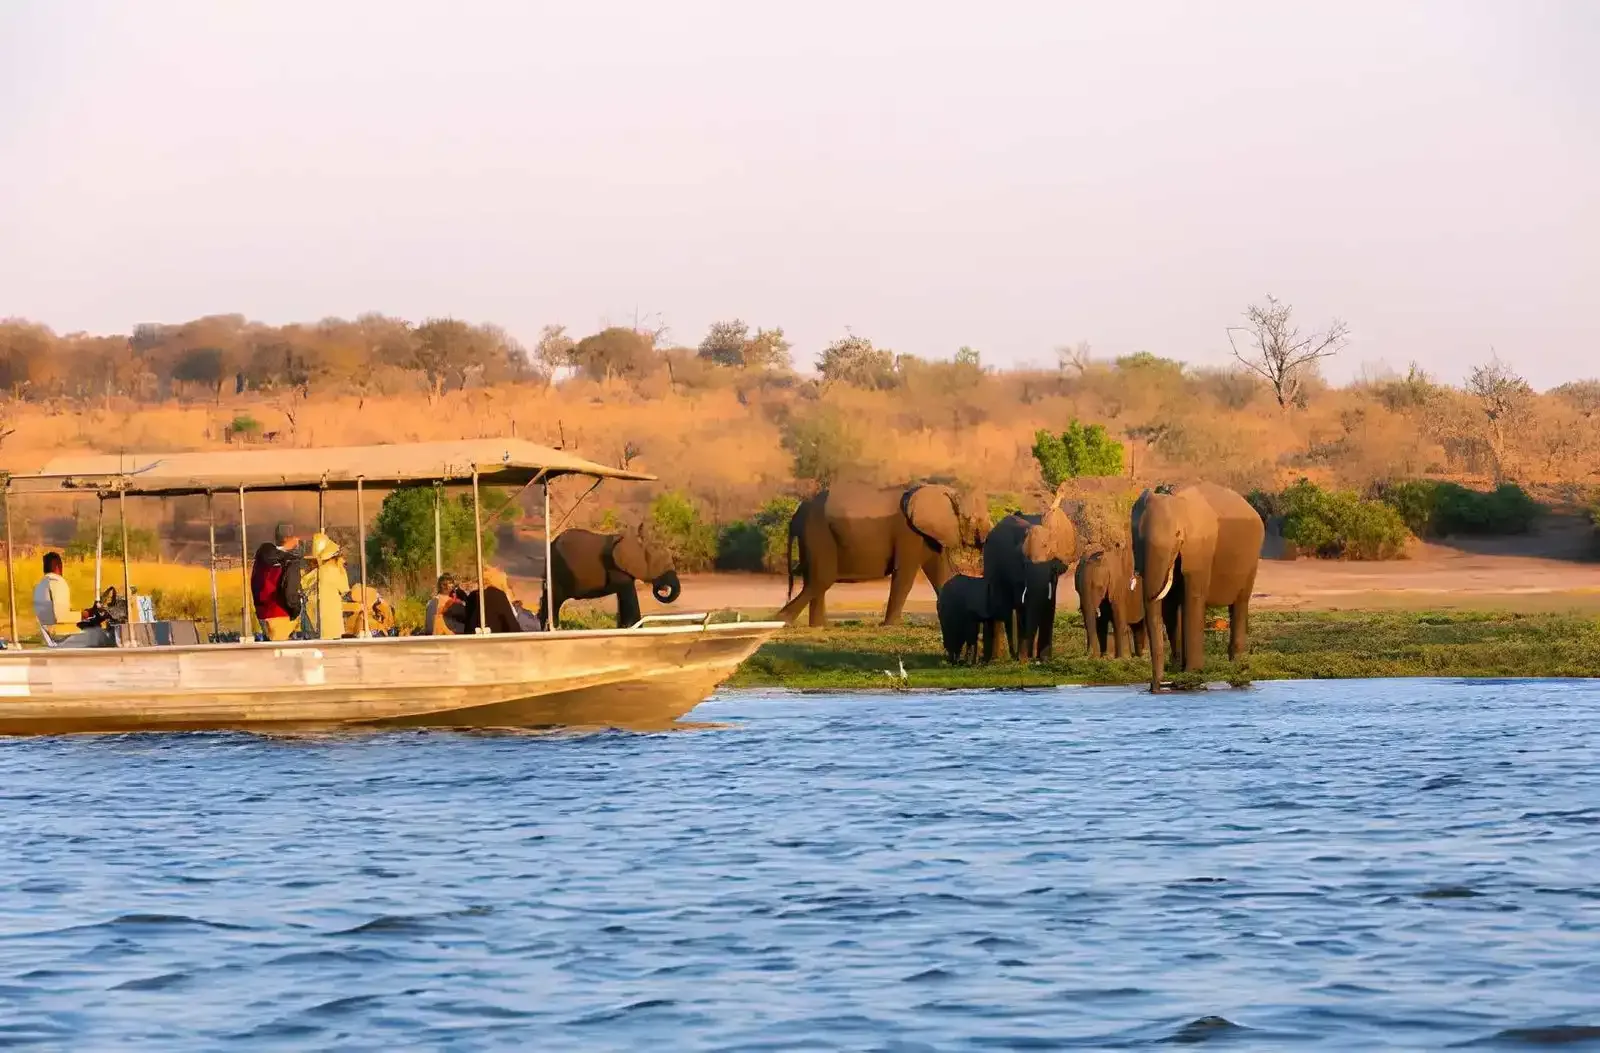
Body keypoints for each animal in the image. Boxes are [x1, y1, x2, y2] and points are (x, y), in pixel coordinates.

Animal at [539, 526, 682, 629]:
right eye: (660, 564)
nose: (663, 588)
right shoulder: (614, 566)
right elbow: (628, 594)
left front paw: (624, 628)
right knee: (554, 600)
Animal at [779, 483, 990, 627]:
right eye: (974, 519)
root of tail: (799, 511)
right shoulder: (908, 533)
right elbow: (904, 576)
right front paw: (889, 626)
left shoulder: (928, 534)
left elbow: (941, 574)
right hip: (817, 531)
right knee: (821, 579)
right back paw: (781, 620)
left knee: (817, 581)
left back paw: (817, 626)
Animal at [980, 496, 1078, 662]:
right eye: (1024, 564)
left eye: (1053, 565)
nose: (1032, 658)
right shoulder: (1016, 570)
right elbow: (1023, 606)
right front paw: (1024, 660)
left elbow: (1048, 606)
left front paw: (1044, 660)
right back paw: (994, 659)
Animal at [1130, 482, 1264, 692]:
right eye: (1137, 537)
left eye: (1177, 534)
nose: (1155, 686)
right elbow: (1169, 606)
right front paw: (1179, 677)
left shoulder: (1199, 549)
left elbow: (1193, 597)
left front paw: (1191, 678)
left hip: (1251, 558)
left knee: (1240, 604)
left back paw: (1239, 673)